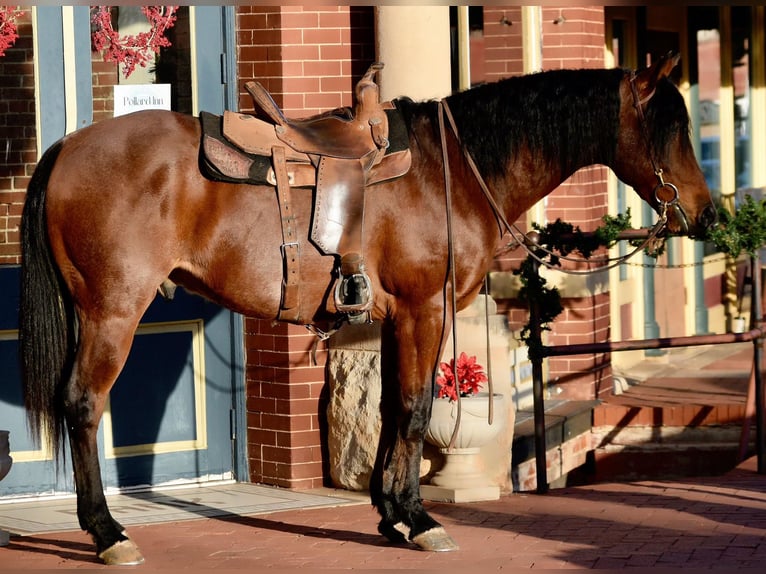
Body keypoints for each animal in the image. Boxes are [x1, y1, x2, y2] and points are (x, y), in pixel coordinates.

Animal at [18, 54, 716, 568]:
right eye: (672, 129)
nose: (707, 215)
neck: (452, 171)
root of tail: (67, 148)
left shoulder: (389, 319)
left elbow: (388, 407)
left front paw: (389, 513)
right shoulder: (424, 310)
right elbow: (414, 407)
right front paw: (418, 518)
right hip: (113, 311)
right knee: (82, 404)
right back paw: (108, 532)